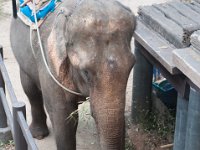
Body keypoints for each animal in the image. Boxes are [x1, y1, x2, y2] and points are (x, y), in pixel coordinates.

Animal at [10, 0, 136, 149]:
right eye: (86, 72)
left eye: (131, 67)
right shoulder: (50, 64)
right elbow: (63, 116)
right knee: (30, 90)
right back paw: (38, 135)